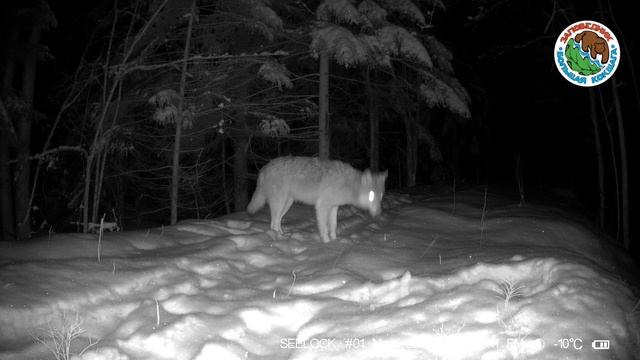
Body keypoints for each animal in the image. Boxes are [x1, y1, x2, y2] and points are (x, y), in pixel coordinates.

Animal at [246, 157, 388, 243]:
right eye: (371, 196)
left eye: (380, 196)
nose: (379, 213)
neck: (348, 184)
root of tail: (264, 167)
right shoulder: (322, 206)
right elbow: (324, 227)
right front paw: (326, 242)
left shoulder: (334, 207)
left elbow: (333, 226)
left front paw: (335, 241)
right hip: (280, 203)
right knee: (273, 223)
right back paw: (279, 238)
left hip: (287, 204)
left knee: (278, 221)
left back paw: (284, 236)